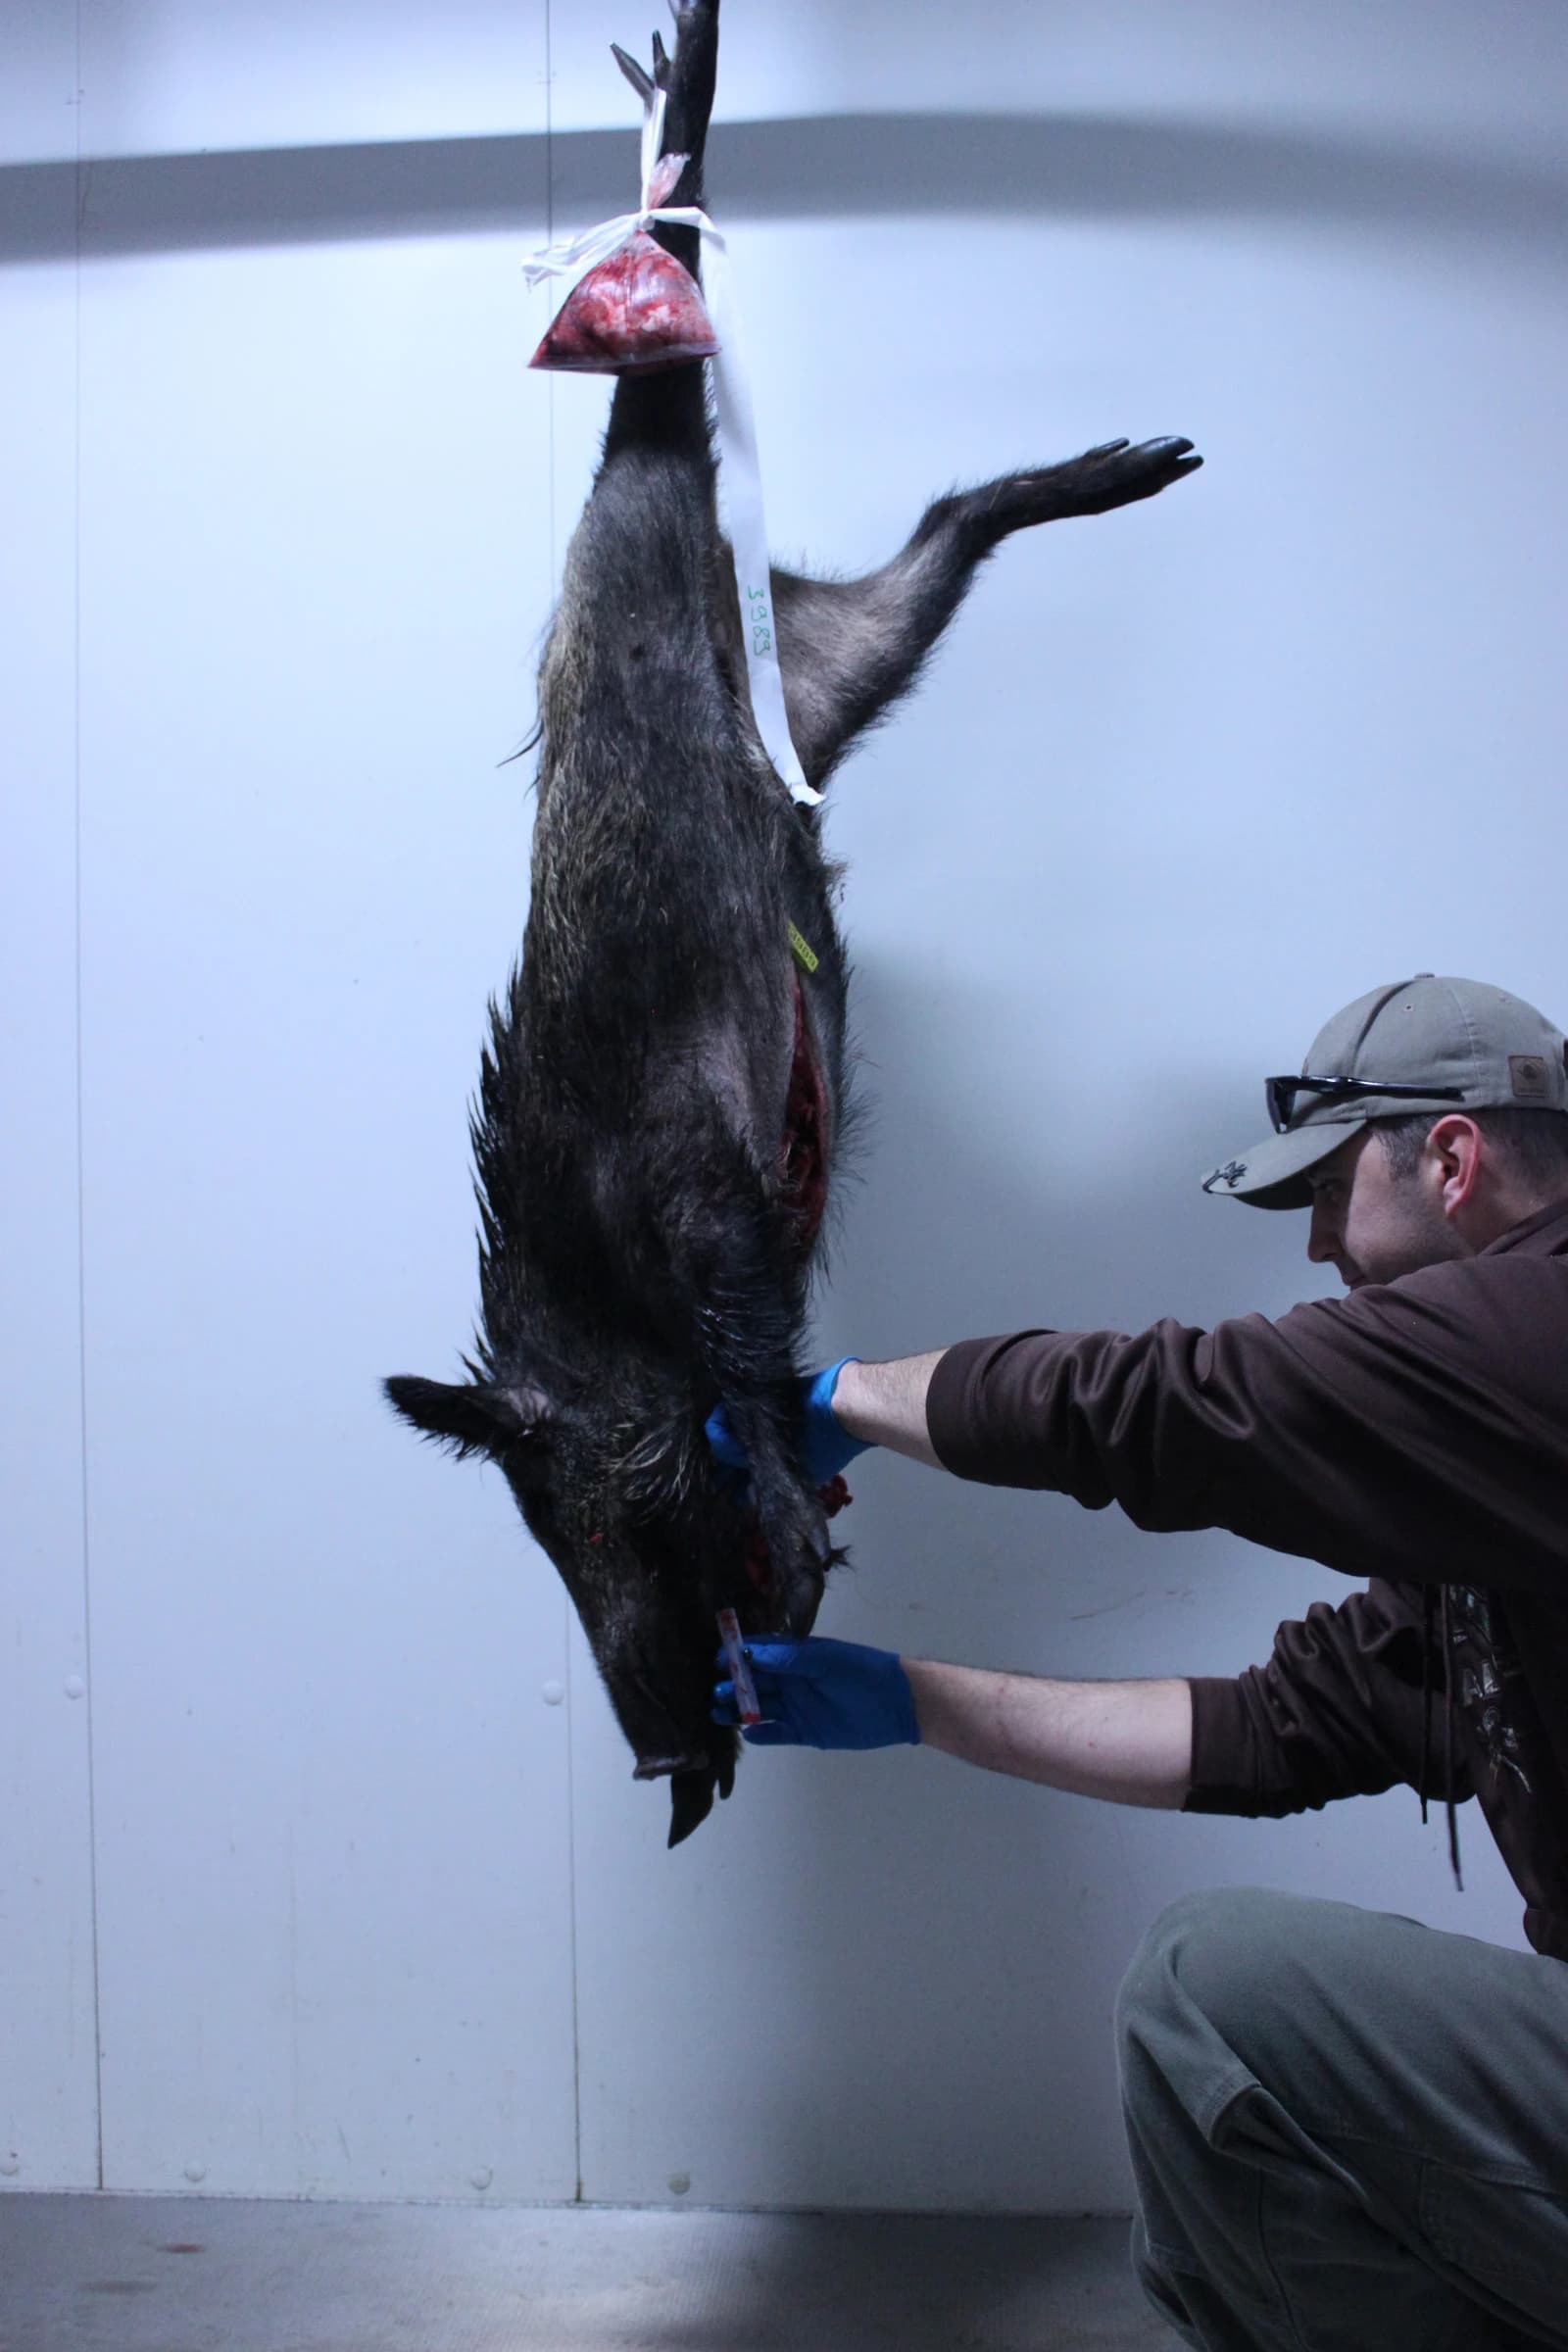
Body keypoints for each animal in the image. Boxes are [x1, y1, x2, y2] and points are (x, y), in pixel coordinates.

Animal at [386, 0, 1200, 1844]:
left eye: (577, 1507)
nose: (664, 1762)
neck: (585, 1286)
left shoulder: (701, 1196)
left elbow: (753, 1361)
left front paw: (789, 1505)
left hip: (722, 544)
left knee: (682, 309)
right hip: (845, 669)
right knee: (948, 530)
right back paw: (1150, 465)